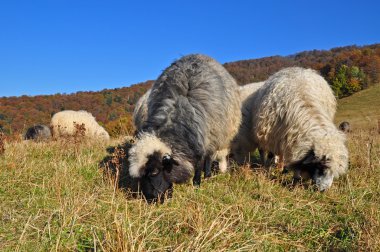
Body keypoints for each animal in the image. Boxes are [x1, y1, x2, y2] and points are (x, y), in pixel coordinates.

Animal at [127, 54, 240, 202]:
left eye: (154, 172)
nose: (150, 199)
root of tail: (198, 54)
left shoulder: (201, 143)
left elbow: (199, 166)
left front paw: (197, 186)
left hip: (216, 134)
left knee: (210, 156)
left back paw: (207, 175)